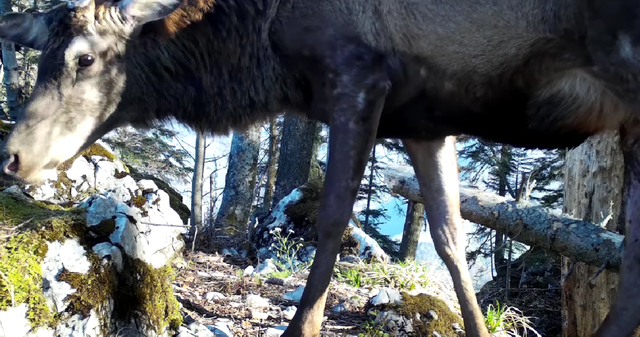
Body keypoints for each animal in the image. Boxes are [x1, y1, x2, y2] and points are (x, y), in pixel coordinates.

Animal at [0, 0, 636, 334]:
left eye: (84, 58)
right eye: (43, 56)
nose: (13, 155)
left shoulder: (358, 75)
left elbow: (331, 223)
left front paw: (301, 325)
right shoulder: (426, 121)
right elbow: (451, 238)